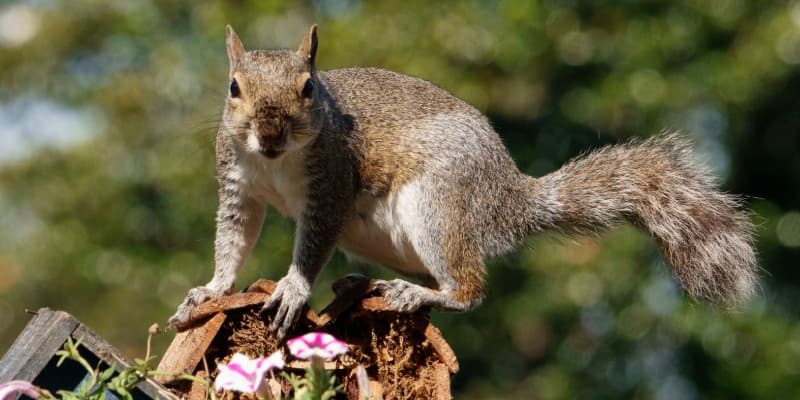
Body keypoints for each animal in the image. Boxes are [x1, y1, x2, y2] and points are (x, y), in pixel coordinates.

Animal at [168, 25, 757, 339]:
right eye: (233, 87)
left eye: (309, 88)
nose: (270, 132)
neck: (274, 162)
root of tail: (509, 199)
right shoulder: (239, 187)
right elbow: (233, 239)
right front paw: (212, 289)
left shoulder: (330, 183)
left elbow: (312, 243)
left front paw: (292, 287)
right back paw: (364, 284)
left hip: (438, 203)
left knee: (470, 289)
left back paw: (419, 293)